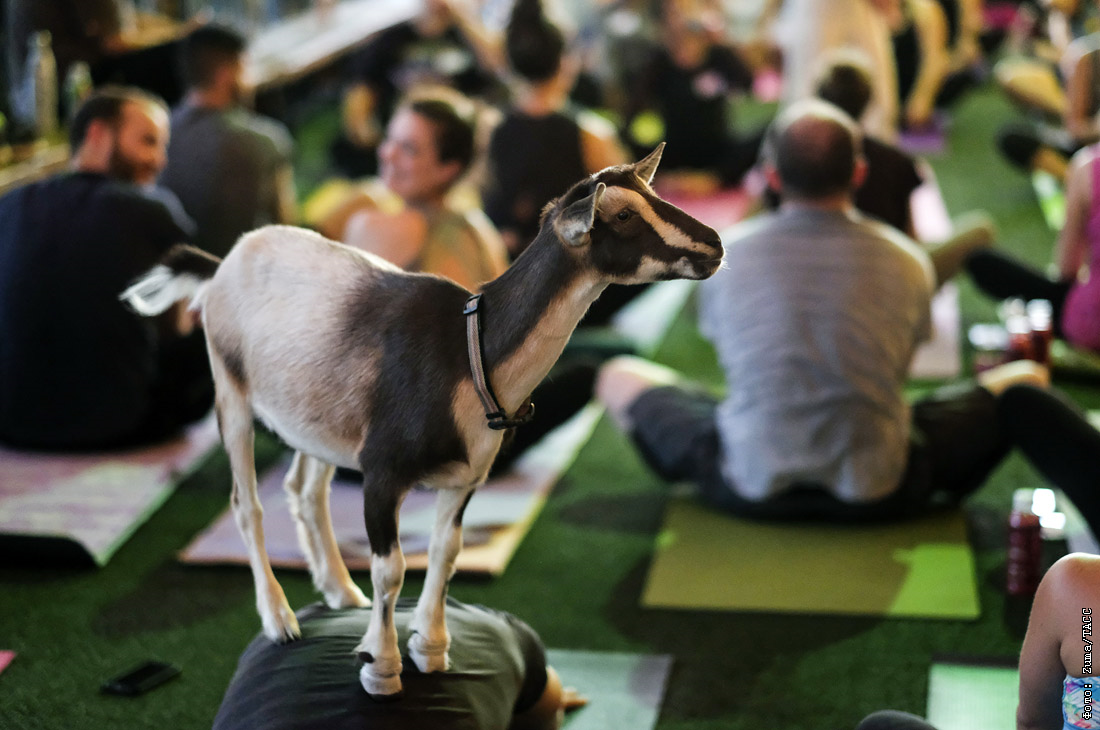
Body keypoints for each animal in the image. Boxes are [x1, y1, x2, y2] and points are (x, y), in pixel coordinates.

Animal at [122, 145, 721, 699]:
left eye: (653, 193)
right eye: (620, 215)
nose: (715, 245)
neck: (469, 353)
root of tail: (224, 262)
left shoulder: (465, 479)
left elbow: (445, 554)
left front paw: (431, 649)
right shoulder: (382, 473)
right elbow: (392, 569)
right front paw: (381, 666)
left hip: (317, 420)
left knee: (305, 490)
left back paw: (340, 591)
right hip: (232, 393)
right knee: (247, 504)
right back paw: (280, 620)